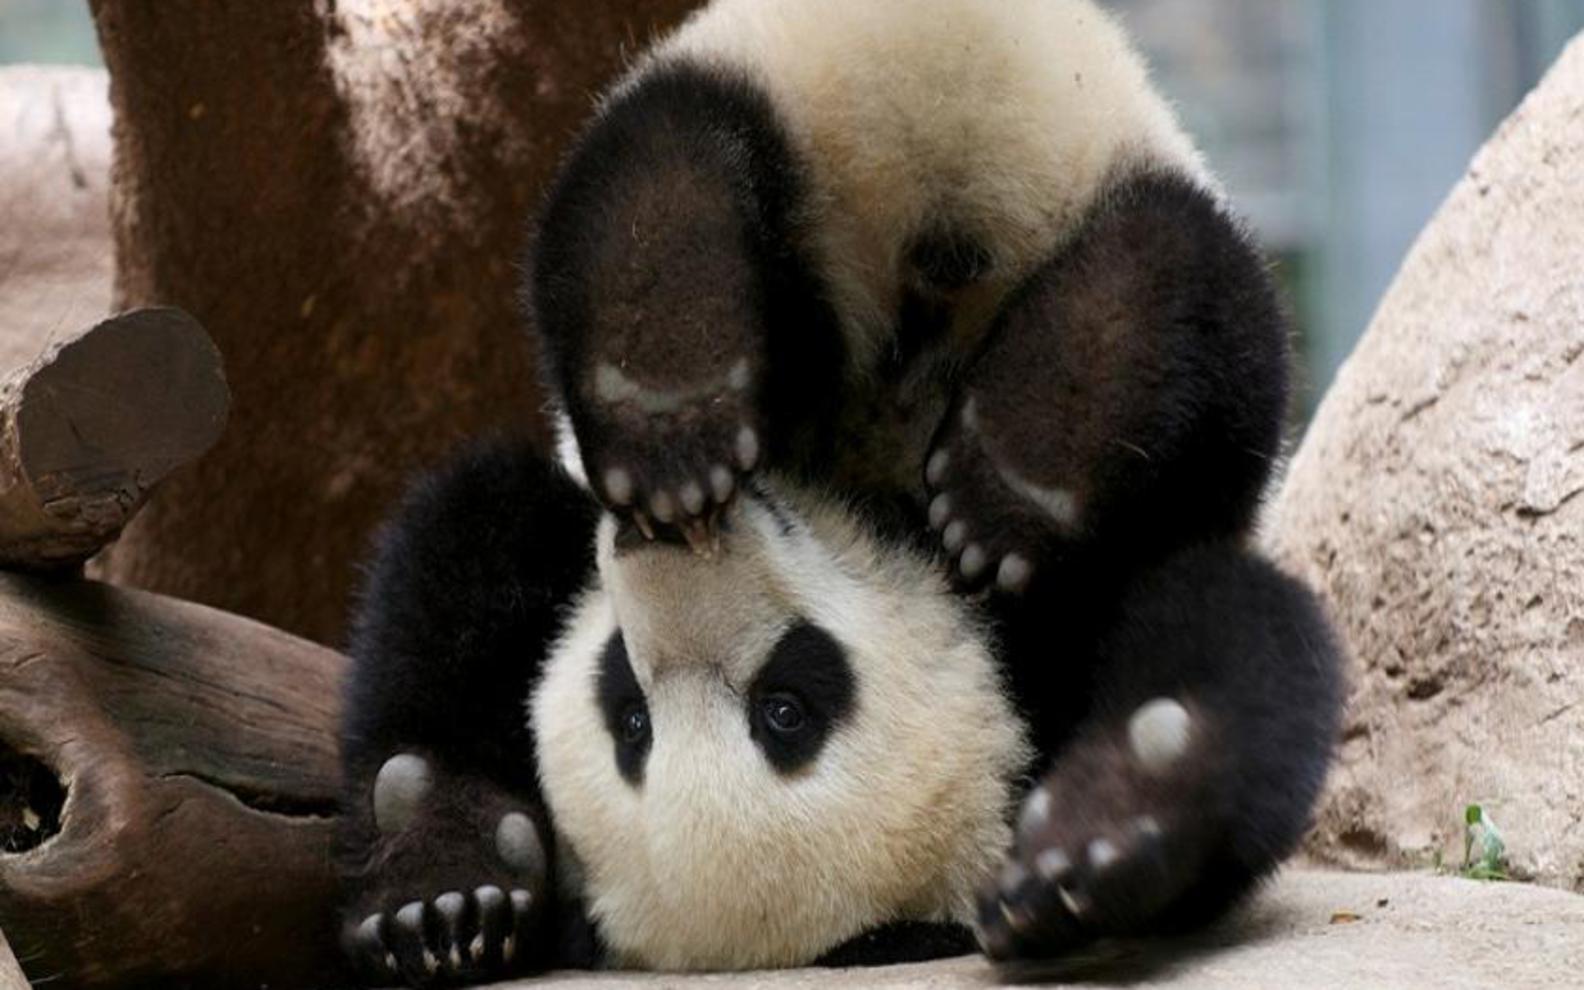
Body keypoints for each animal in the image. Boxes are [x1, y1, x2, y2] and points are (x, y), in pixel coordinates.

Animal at [335, 0, 1344, 985]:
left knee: (1184, 293)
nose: (660, 548)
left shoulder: (1065, 621)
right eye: (628, 712)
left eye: (786, 709)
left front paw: (1103, 826)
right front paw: (446, 880)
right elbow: (463, 555)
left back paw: (989, 477)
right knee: (674, 153)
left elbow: (1240, 639)